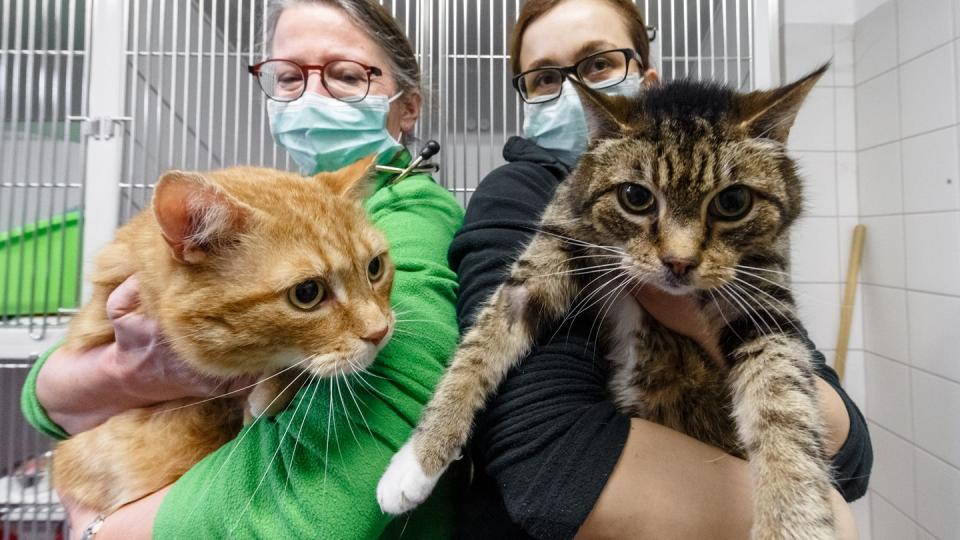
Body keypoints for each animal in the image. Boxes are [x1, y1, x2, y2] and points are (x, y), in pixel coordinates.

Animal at [378, 65, 836, 536]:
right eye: (635, 197)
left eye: (733, 201)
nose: (679, 262)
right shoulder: (550, 251)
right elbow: (477, 350)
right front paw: (416, 461)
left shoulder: (764, 301)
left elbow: (786, 405)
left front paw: (793, 521)